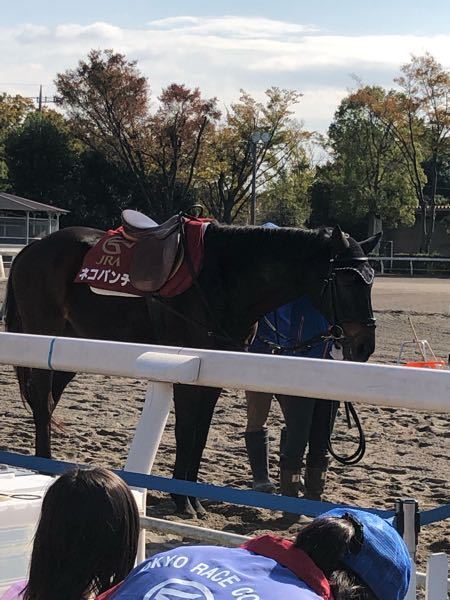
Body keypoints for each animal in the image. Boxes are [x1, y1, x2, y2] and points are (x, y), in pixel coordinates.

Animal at [5, 220, 382, 516]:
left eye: (371, 279)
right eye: (346, 281)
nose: (364, 344)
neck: (222, 277)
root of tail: (31, 250)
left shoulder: (213, 372)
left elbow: (200, 433)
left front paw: (193, 498)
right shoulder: (186, 370)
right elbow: (186, 431)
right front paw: (182, 500)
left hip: (72, 346)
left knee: (47, 401)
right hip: (43, 338)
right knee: (42, 400)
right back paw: (43, 466)